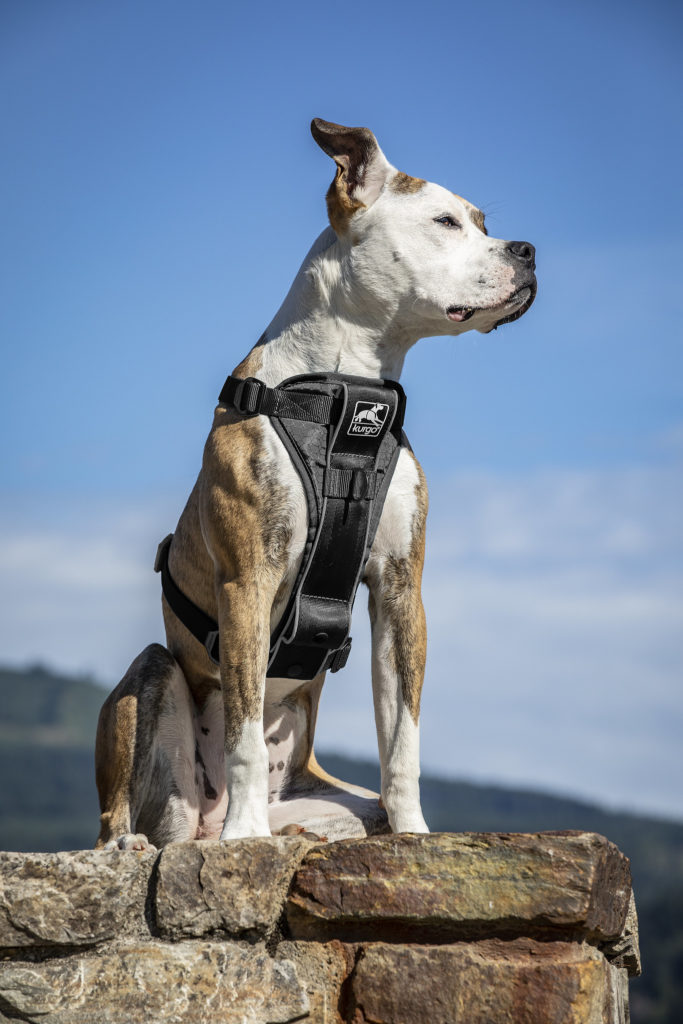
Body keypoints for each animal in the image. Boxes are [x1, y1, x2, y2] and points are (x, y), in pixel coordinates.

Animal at [93, 117, 536, 847]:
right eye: (444, 222)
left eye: (482, 222)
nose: (528, 251)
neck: (349, 390)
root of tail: (201, 821)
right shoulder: (249, 579)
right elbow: (244, 726)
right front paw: (247, 836)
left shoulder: (400, 591)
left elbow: (402, 737)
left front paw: (414, 832)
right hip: (153, 677)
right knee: (128, 813)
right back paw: (163, 838)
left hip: (329, 801)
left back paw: (298, 833)